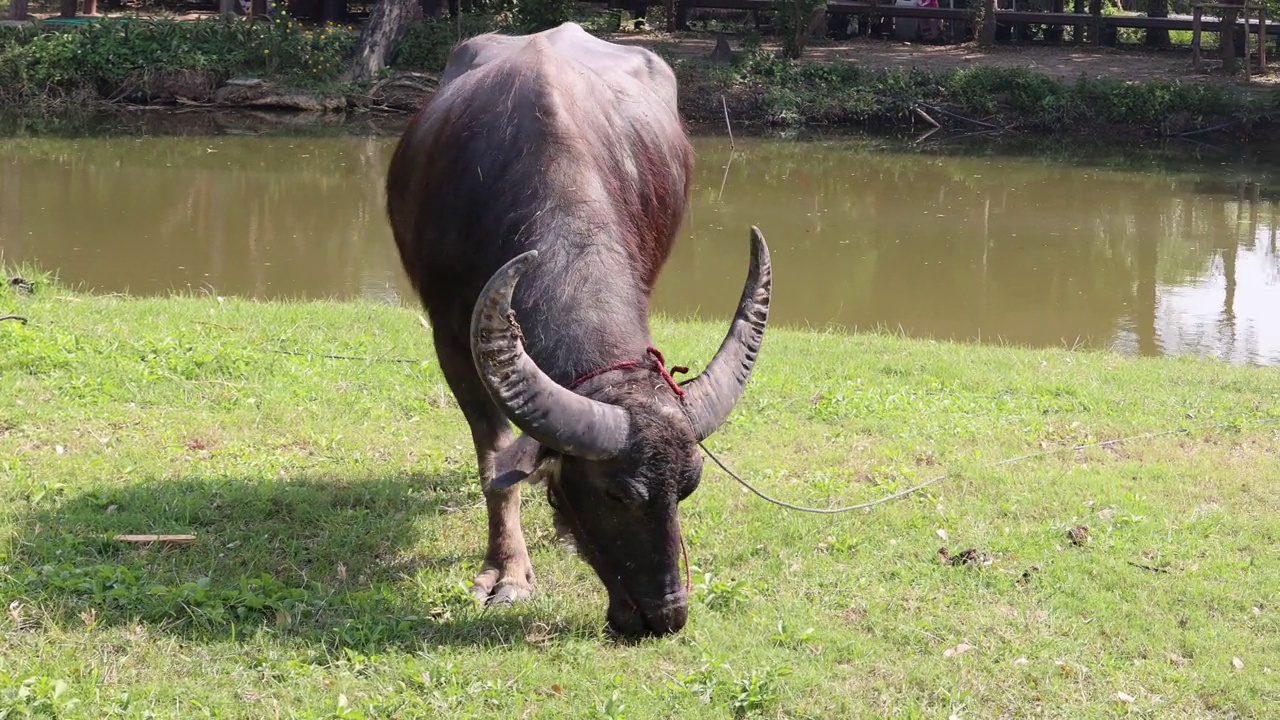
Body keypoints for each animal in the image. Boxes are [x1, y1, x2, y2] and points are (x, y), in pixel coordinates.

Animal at [384, 20, 773, 632]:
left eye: (686, 490)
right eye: (614, 495)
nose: (665, 615)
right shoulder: (451, 337)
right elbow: (494, 455)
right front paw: (508, 572)